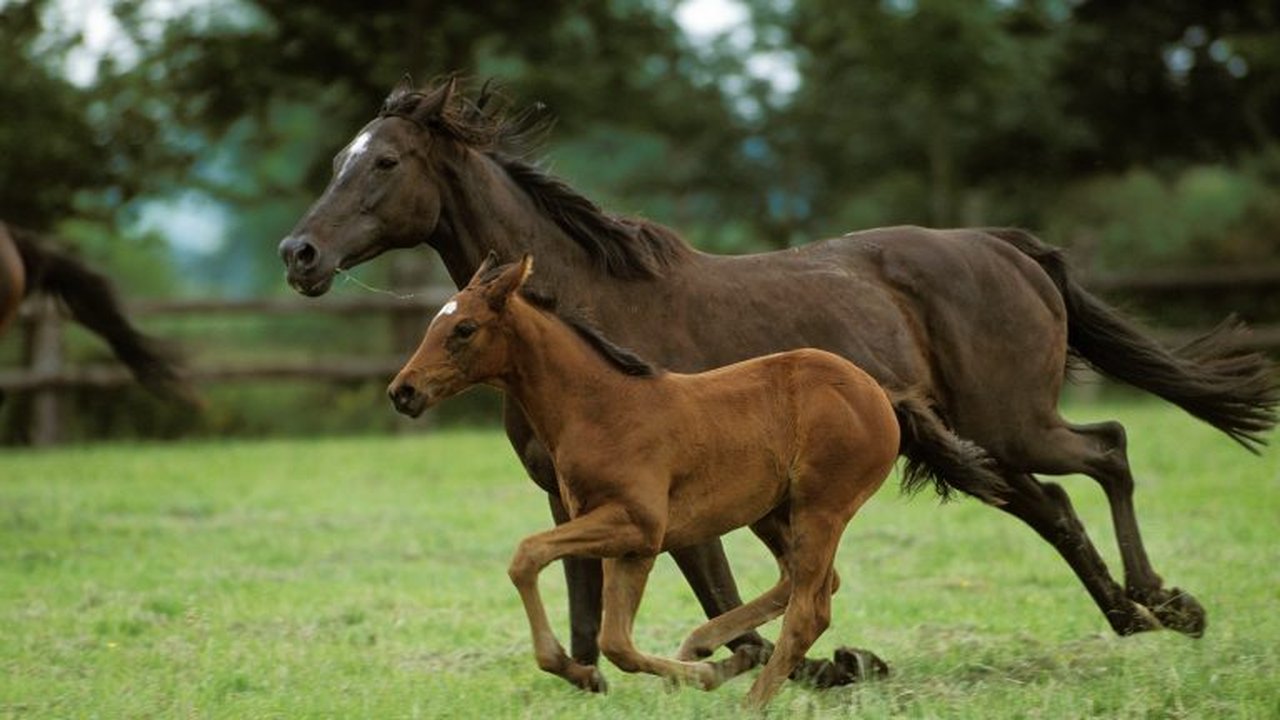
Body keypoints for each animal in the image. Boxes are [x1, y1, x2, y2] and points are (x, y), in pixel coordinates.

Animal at [386, 252, 941, 706]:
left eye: (464, 329)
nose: (403, 391)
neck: (601, 407)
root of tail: (882, 394)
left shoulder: (637, 524)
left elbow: (527, 555)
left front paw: (573, 665)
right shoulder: (628, 545)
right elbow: (615, 642)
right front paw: (696, 672)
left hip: (821, 508)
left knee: (810, 610)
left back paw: (749, 699)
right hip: (771, 511)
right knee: (809, 582)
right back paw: (709, 645)